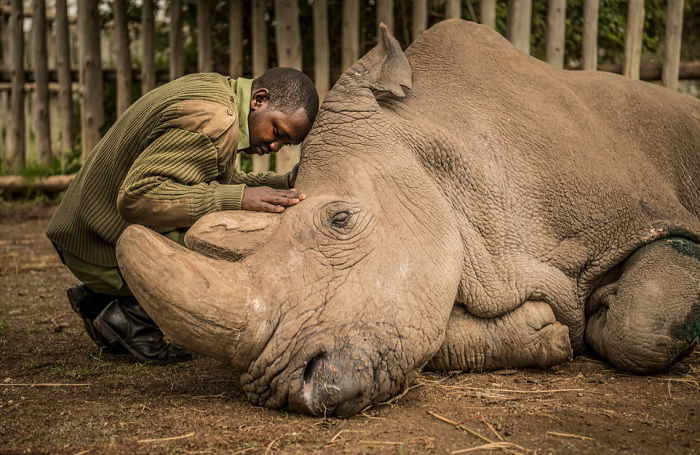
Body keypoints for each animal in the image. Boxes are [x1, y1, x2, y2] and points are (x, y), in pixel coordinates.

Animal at [116, 19, 700, 418]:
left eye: (341, 220)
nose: (287, 389)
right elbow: (431, 330)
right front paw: (546, 331)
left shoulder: (647, 219)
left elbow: (639, 325)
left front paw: (602, 310)